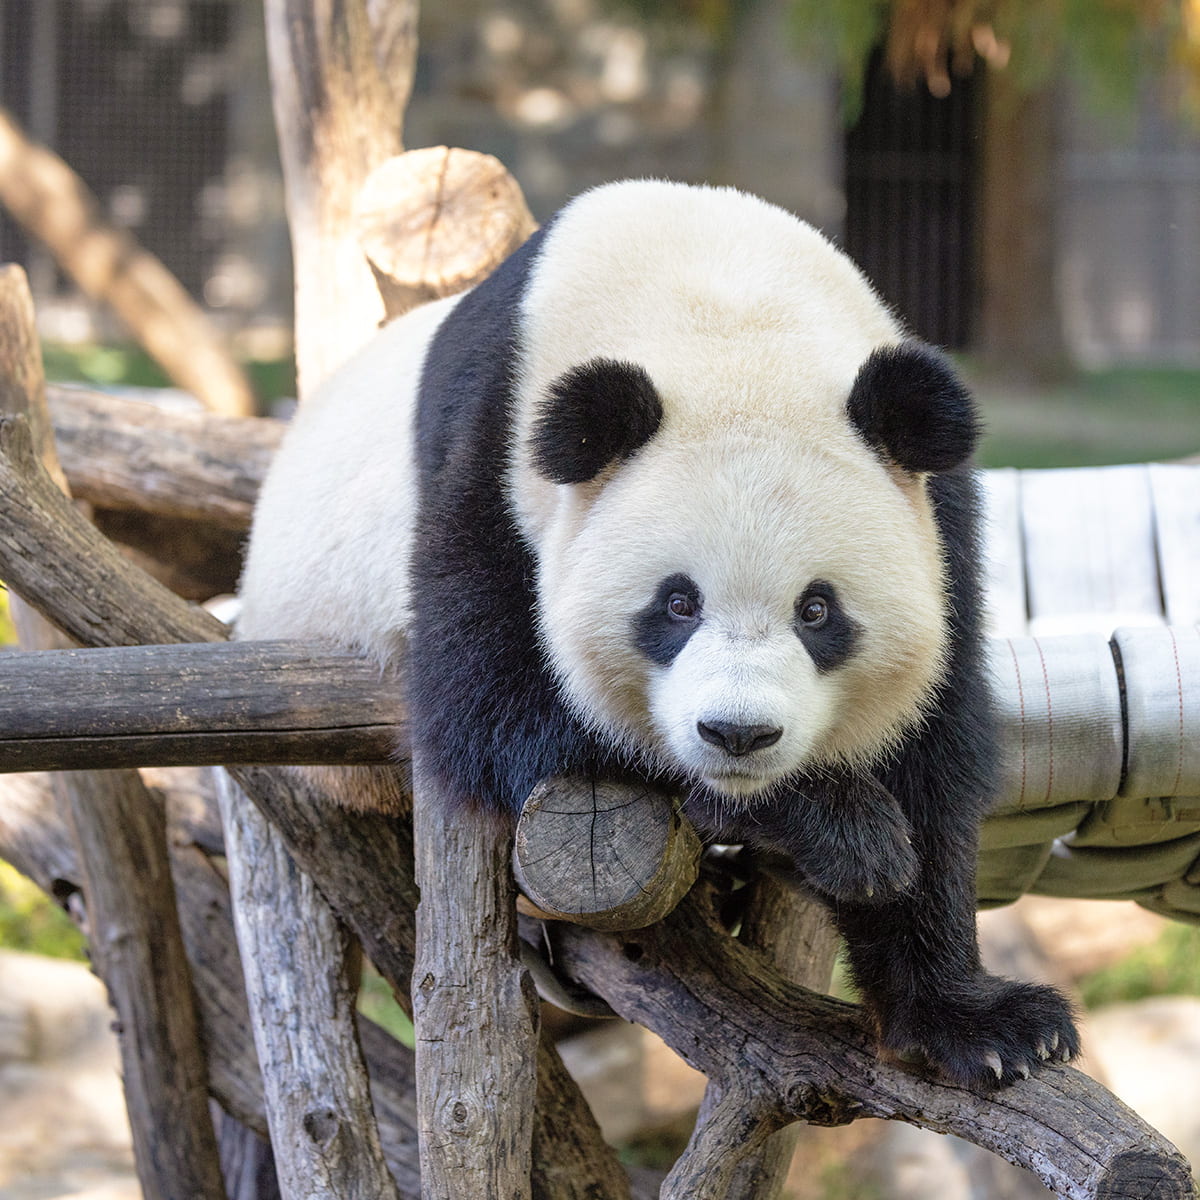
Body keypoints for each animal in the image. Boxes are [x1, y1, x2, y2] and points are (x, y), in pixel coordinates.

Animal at [238, 179, 1078, 1090]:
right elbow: (490, 706)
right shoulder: (490, 463)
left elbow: (933, 751)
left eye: (817, 611)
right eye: (677, 605)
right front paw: (839, 831)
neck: (721, 302)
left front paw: (981, 1021)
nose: (738, 734)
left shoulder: (938, 517)